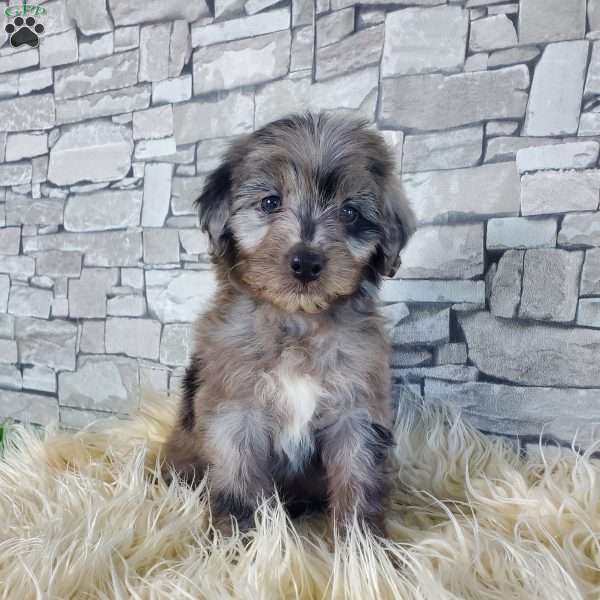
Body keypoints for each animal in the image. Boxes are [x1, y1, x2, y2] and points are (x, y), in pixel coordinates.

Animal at [164, 112, 418, 536]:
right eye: (270, 203)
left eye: (350, 213)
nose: (306, 262)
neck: (297, 321)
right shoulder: (236, 409)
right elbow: (239, 478)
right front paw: (242, 537)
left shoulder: (356, 410)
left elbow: (358, 476)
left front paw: (362, 542)